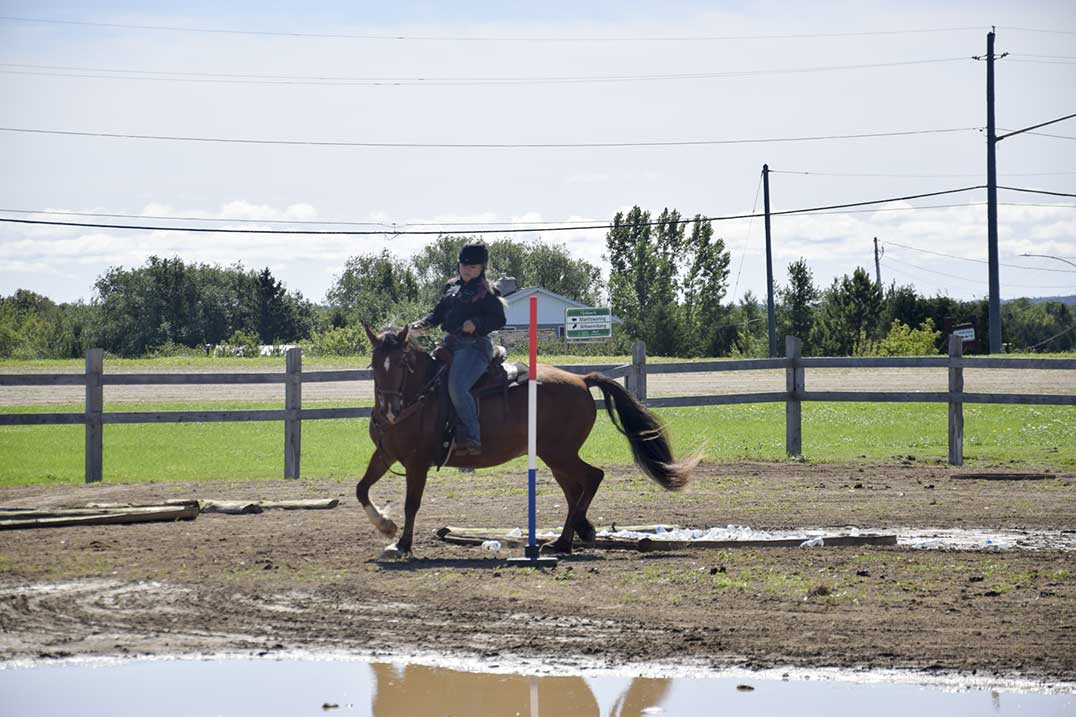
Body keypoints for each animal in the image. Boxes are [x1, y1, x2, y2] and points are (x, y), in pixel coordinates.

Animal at [356, 324, 698, 559]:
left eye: (402, 364)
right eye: (374, 363)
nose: (389, 410)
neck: (421, 395)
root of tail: (581, 379)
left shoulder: (418, 462)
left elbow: (411, 504)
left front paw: (401, 545)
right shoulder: (385, 454)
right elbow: (361, 489)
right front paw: (385, 526)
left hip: (560, 453)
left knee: (592, 477)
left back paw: (571, 536)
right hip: (556, 456)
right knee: (574, 491)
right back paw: (566, 539)